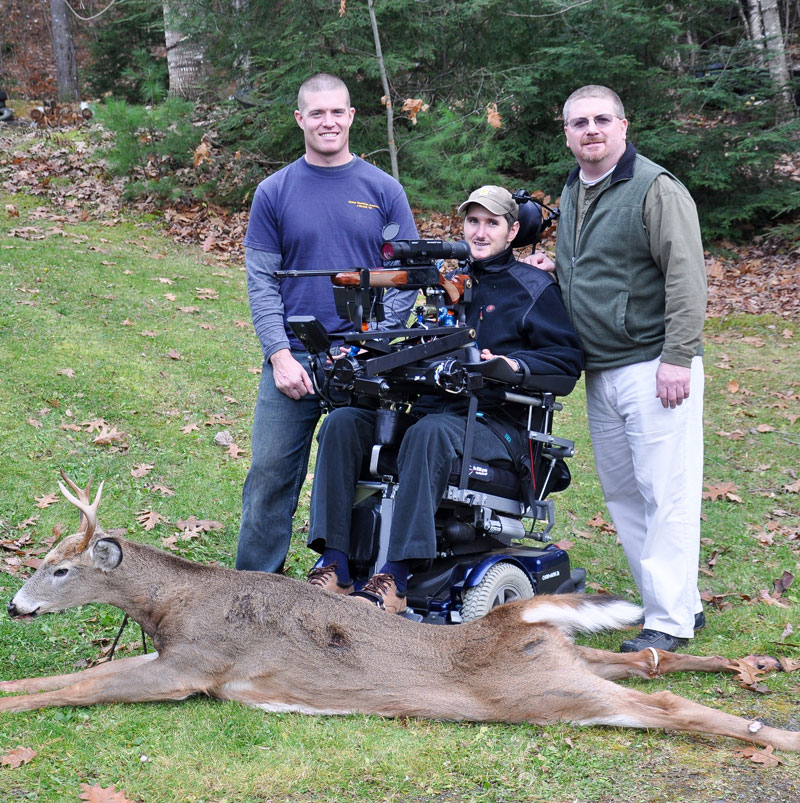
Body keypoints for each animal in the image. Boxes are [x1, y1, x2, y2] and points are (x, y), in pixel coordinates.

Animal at [4, 474, 800, 752]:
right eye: (39, 559)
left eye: (61, 568)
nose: (15, 604)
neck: (173, 606)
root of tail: (512, 617)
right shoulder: (173, 656)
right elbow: (68, 677)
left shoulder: (195, 668)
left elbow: (78, 687)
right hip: (566, 656)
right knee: (648, 658)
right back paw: (757, 660)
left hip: (541, 692)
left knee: (666, 703)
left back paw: (776, 735)